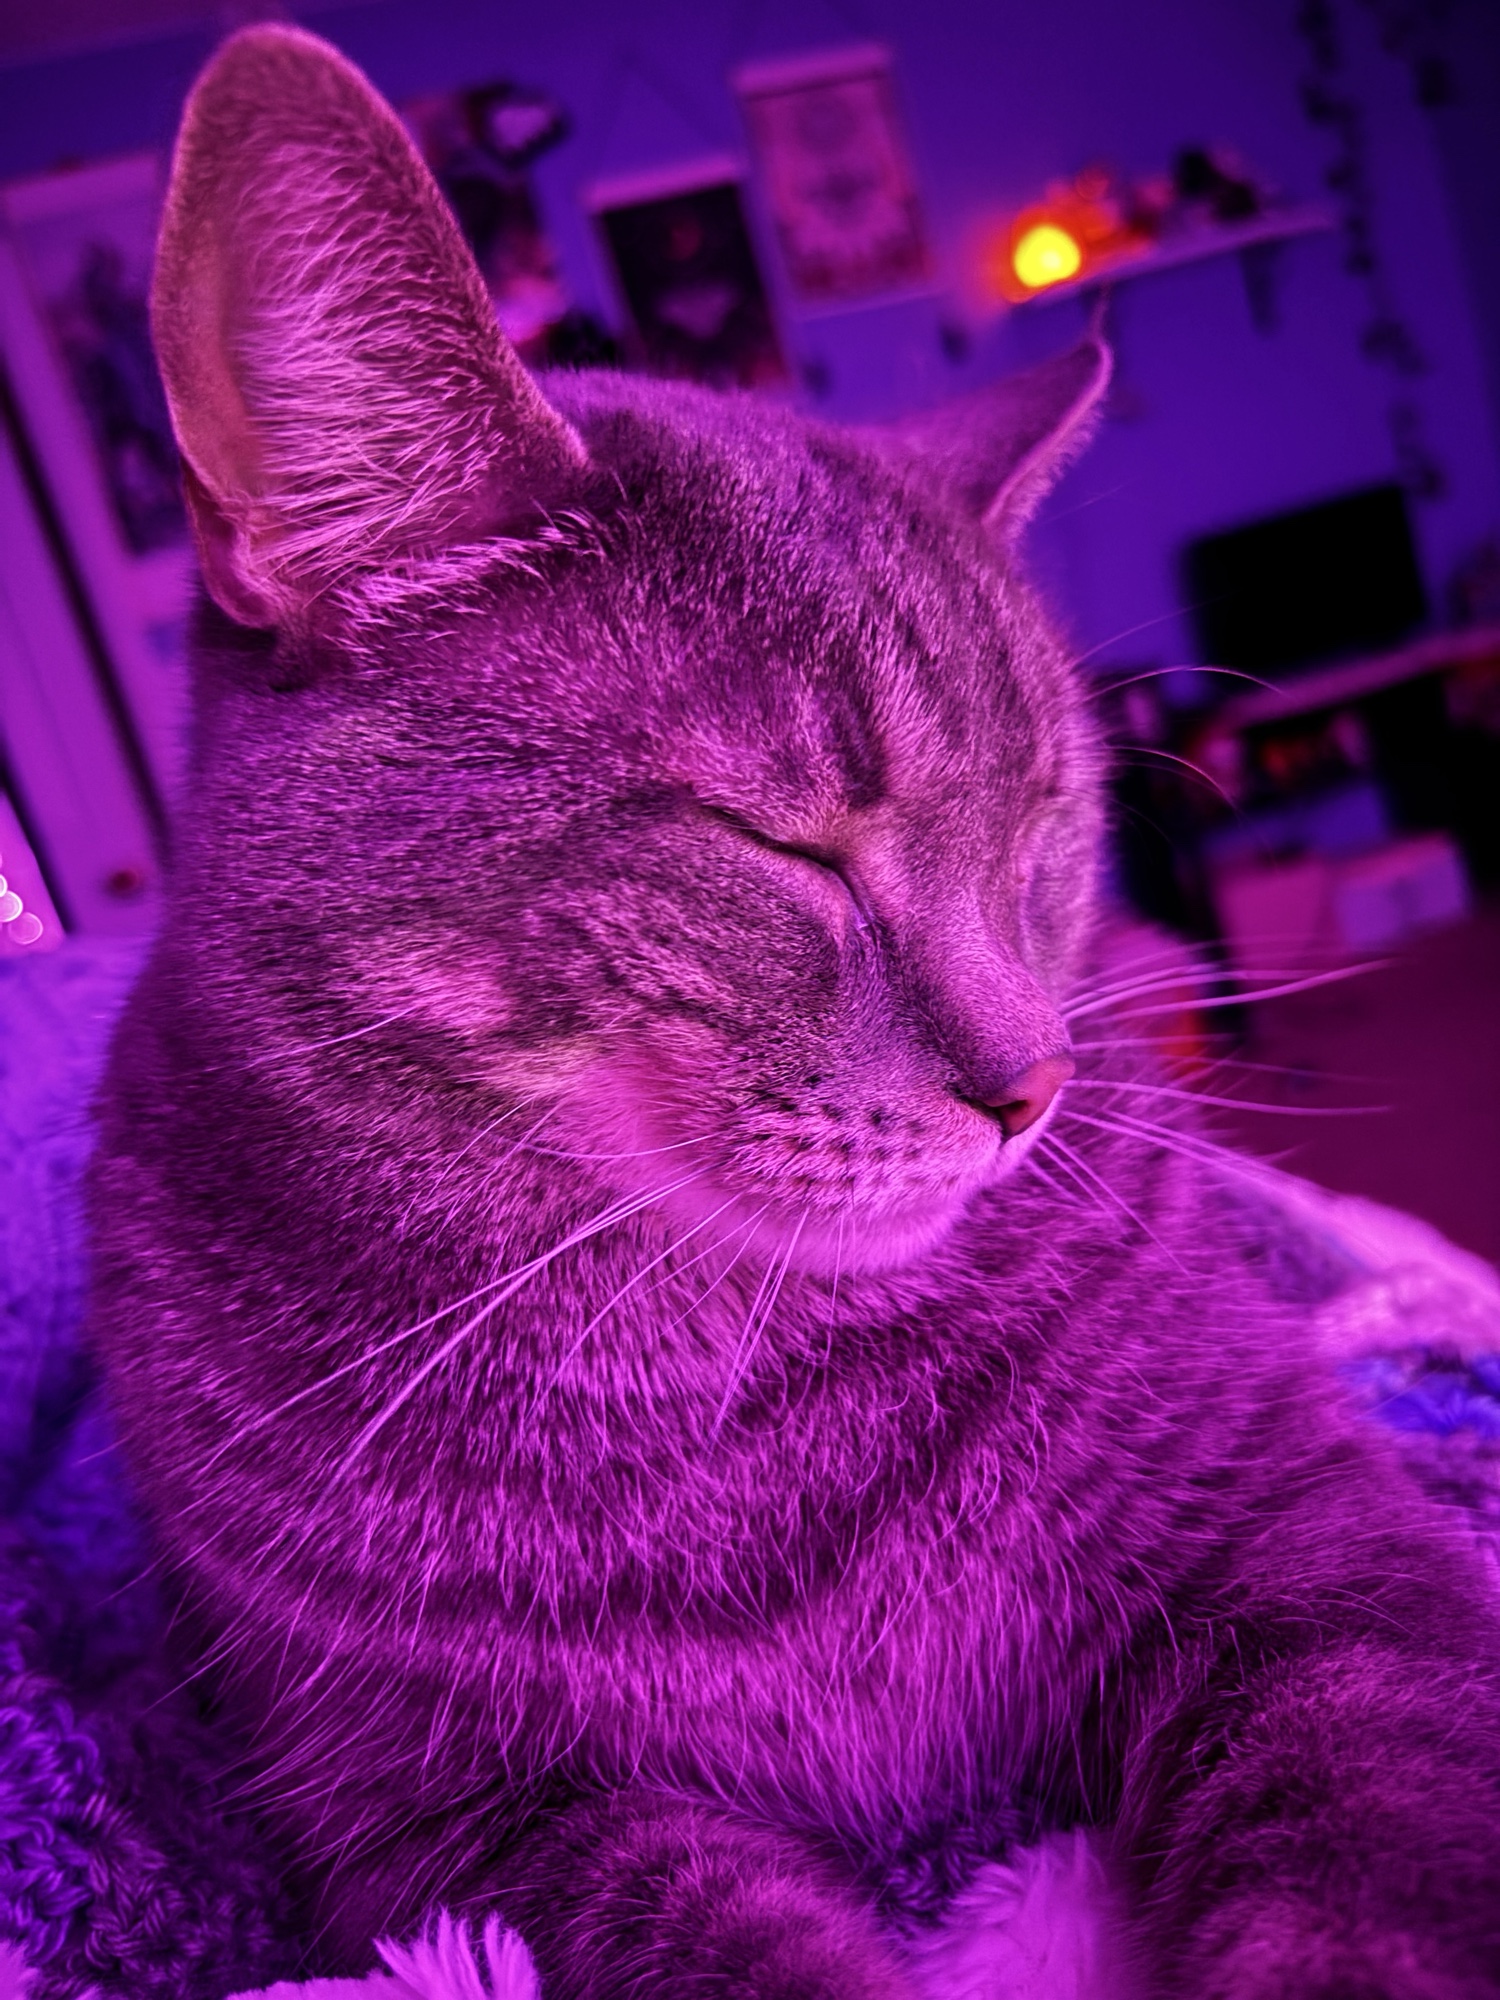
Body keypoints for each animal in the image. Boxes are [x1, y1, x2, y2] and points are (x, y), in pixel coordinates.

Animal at [88, 22, 1500, 1999]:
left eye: (1046, 824)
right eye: (788, 843)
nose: (1037, 1086)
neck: (722, 1385)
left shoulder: (1301, 1538)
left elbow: (1368, 1879)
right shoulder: (454, 1838)